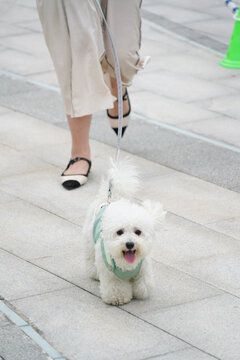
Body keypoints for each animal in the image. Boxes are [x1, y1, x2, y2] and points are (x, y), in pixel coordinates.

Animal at [82, 162, 165, 306]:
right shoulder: (110, 273)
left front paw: (139, 291)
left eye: (138, 232)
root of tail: (108, 199)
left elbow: (143, 284)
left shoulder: (143, 267)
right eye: (119, 232)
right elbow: (116, 287)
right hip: (90, 241)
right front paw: (118, 298)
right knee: (90, 257)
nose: (130, 244)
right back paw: (94, 272)